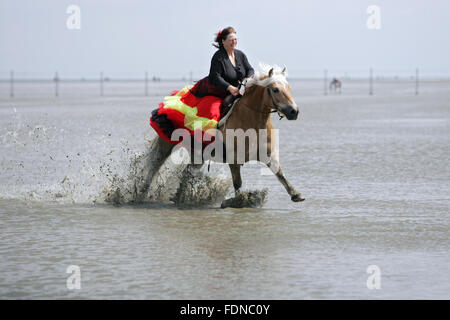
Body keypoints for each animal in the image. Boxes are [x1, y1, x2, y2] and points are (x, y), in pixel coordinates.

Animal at [145, 64, 306, 208]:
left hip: (199, 154)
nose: (294, 111)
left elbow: (279, 173)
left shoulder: (268, 155)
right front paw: (238, 201)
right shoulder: (234, 160)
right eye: (275, 89)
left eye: (289, 88)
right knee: (154, 166)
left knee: (187, 173)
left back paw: (180, 197)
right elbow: (237, 182)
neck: (251, 120)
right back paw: (143, 192)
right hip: (166, 143)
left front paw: (296, 194)